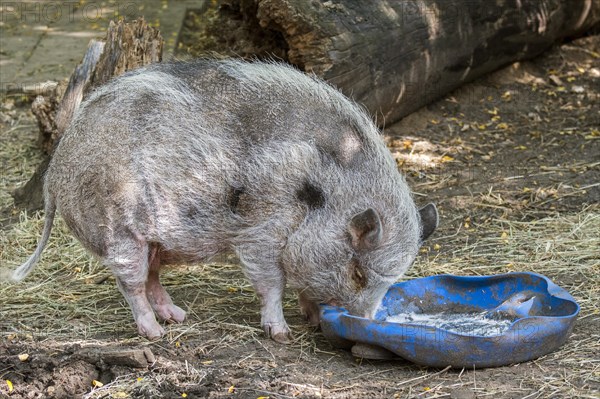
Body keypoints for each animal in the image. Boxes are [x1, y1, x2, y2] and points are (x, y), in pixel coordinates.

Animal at [11, 60, 438, 344]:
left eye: (391, 281)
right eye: (359, 273)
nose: (366, 320)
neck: (323, 193)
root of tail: (58, 167)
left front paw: (314, 319)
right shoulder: (262, 228)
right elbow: (271, 282)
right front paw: (281, 335)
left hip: (152, 239)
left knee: (151, 277)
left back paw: (178, 317)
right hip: (118, 227)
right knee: (130, 282)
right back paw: (155, 335)